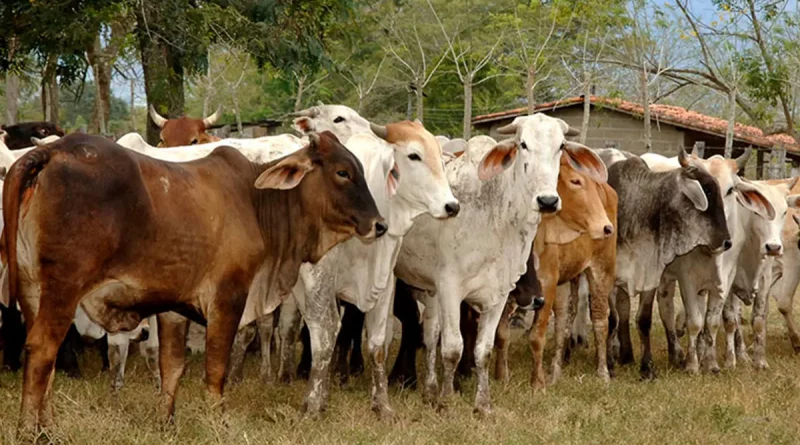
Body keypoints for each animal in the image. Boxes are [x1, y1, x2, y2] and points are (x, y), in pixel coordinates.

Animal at [3, 130, 384, 432]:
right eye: (342, 172)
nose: (379, 224)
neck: (255, 200)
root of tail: (52, 151)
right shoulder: (228, 296)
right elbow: (216, 366)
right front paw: (218, 419)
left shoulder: (173, 306)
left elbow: (172, 366)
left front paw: (166, 422)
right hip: (63, 289)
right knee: (42, 350)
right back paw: (31, 432)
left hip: (32, 289)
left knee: (45, 358)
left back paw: (47, 426)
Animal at [496, 155, 616, 388]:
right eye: (575, 181)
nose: (605, 227)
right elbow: (501, 334)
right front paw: (502, 378)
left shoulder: (546, 283)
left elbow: (536, 336)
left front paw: (537, 384)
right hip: (564, 283)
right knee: (562, 322)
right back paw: (555, 371)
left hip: (601, 270)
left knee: (599, 319)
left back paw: (603, 372)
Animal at [608, 151, 732, 376]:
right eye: (708, 191)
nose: (727, 242)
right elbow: (611, 319)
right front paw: (608, 366)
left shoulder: (650, 275)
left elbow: (643, 320)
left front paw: (647, 368)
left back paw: (627, 355)